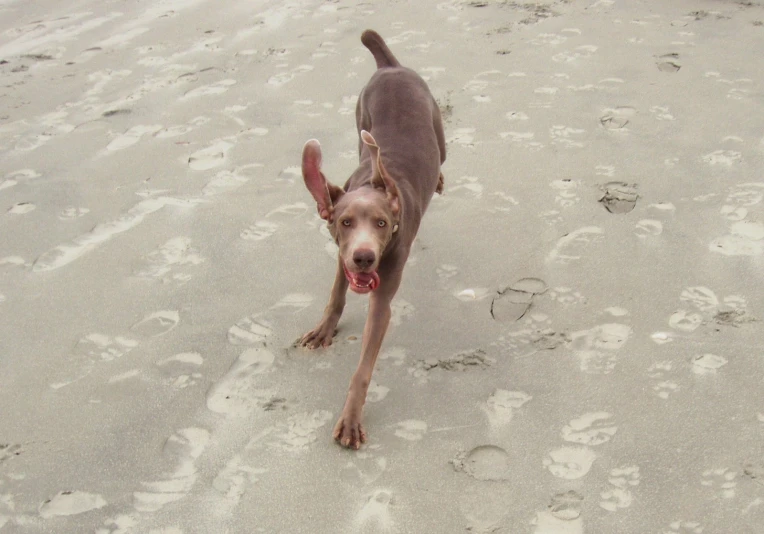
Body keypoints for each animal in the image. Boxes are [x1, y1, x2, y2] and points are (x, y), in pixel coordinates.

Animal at [296, 28, 444, 448]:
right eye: (345, 222)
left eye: (381, 223)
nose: (364, 258)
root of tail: (389, 66)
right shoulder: (340, 257)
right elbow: (336, 294)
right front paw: (324, 329)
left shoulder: (382, 298)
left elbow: (362, 369)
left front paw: (350, 420)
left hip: (438, 126)